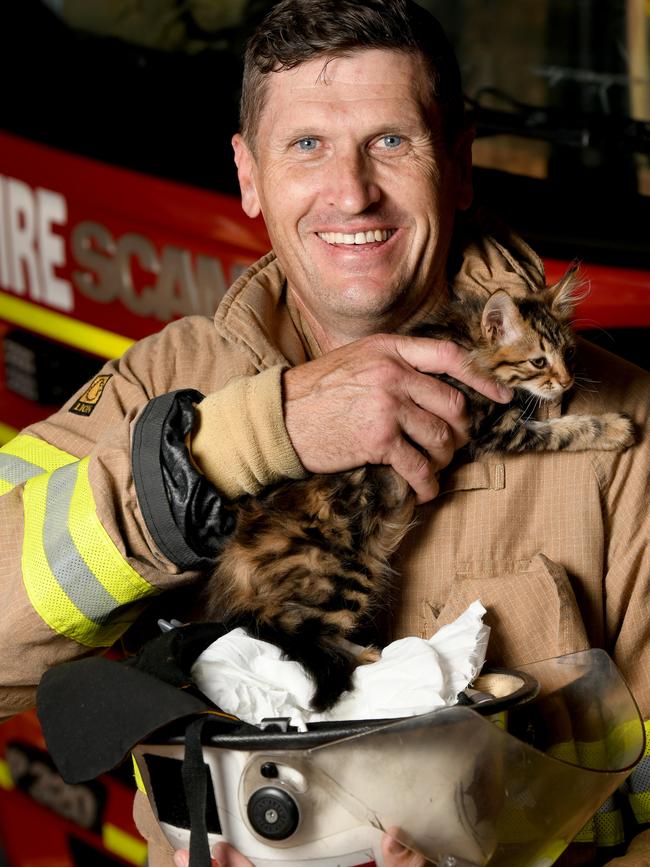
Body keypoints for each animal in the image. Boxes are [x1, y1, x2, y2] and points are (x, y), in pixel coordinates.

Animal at [202, 270, 632, 712]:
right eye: (539, 361)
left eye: (568, 353)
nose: (566, 381)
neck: (469, 340)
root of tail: (238, 562)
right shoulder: (496, 430)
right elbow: (563, 431)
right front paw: (613, 429)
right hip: (344, 573)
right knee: (307, 629)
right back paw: (372, 657)